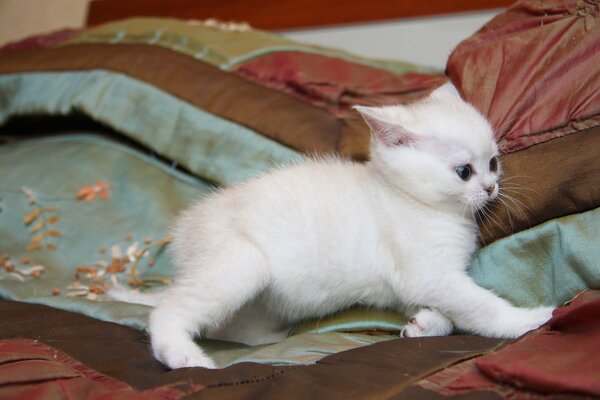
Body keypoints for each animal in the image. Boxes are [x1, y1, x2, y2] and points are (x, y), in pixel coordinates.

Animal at [142, 83, 552, 368]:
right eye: (464, 171)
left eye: (494, 163)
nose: (491, 187)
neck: (412, 201)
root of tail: (183, 233)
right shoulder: (428, 275)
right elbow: (480, 307)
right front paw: (529, 320)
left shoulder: (409, 285)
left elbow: (446, 313)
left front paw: (426, 323)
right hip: (241, 263)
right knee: (165, 313)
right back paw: (183, 356)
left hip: (257, 317)